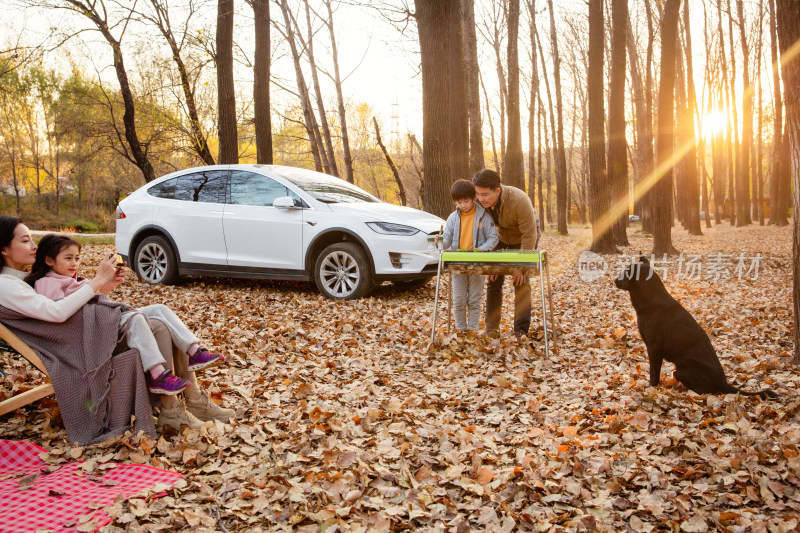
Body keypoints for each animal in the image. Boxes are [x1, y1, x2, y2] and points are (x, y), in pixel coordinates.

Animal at [616, 256, 780, 396]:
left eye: (626, 273)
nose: (614, 280)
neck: (650, 302)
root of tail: (723, 383)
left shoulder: (654, 348)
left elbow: (654, 373)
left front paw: (651, 388)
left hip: (683, 368)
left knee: (702, 390)